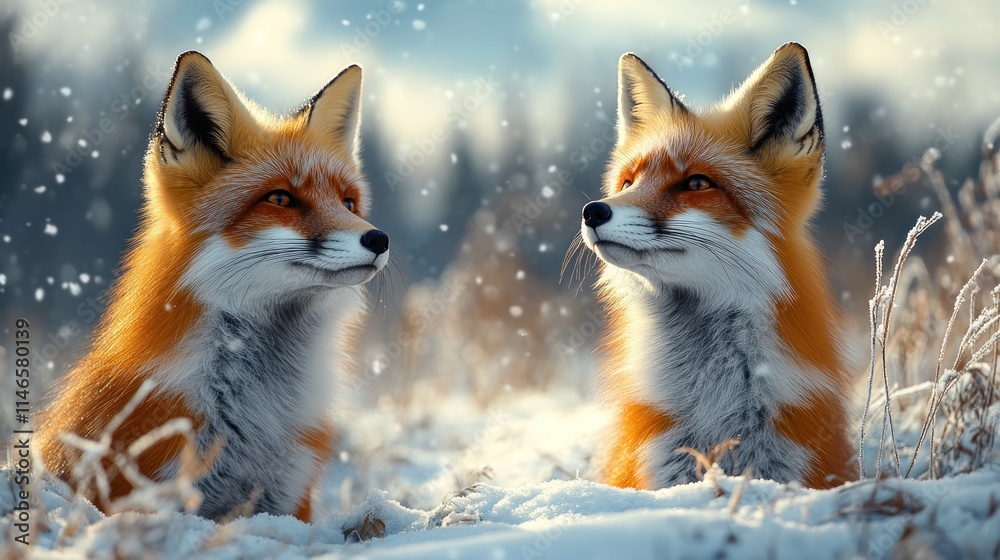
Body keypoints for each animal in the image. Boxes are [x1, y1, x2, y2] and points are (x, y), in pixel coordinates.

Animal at [33, 51, 389, 522]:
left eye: (349, 203)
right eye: (280, 199)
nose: (379, 239)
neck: (258, 411)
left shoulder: (288, 497)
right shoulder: (157, 487)